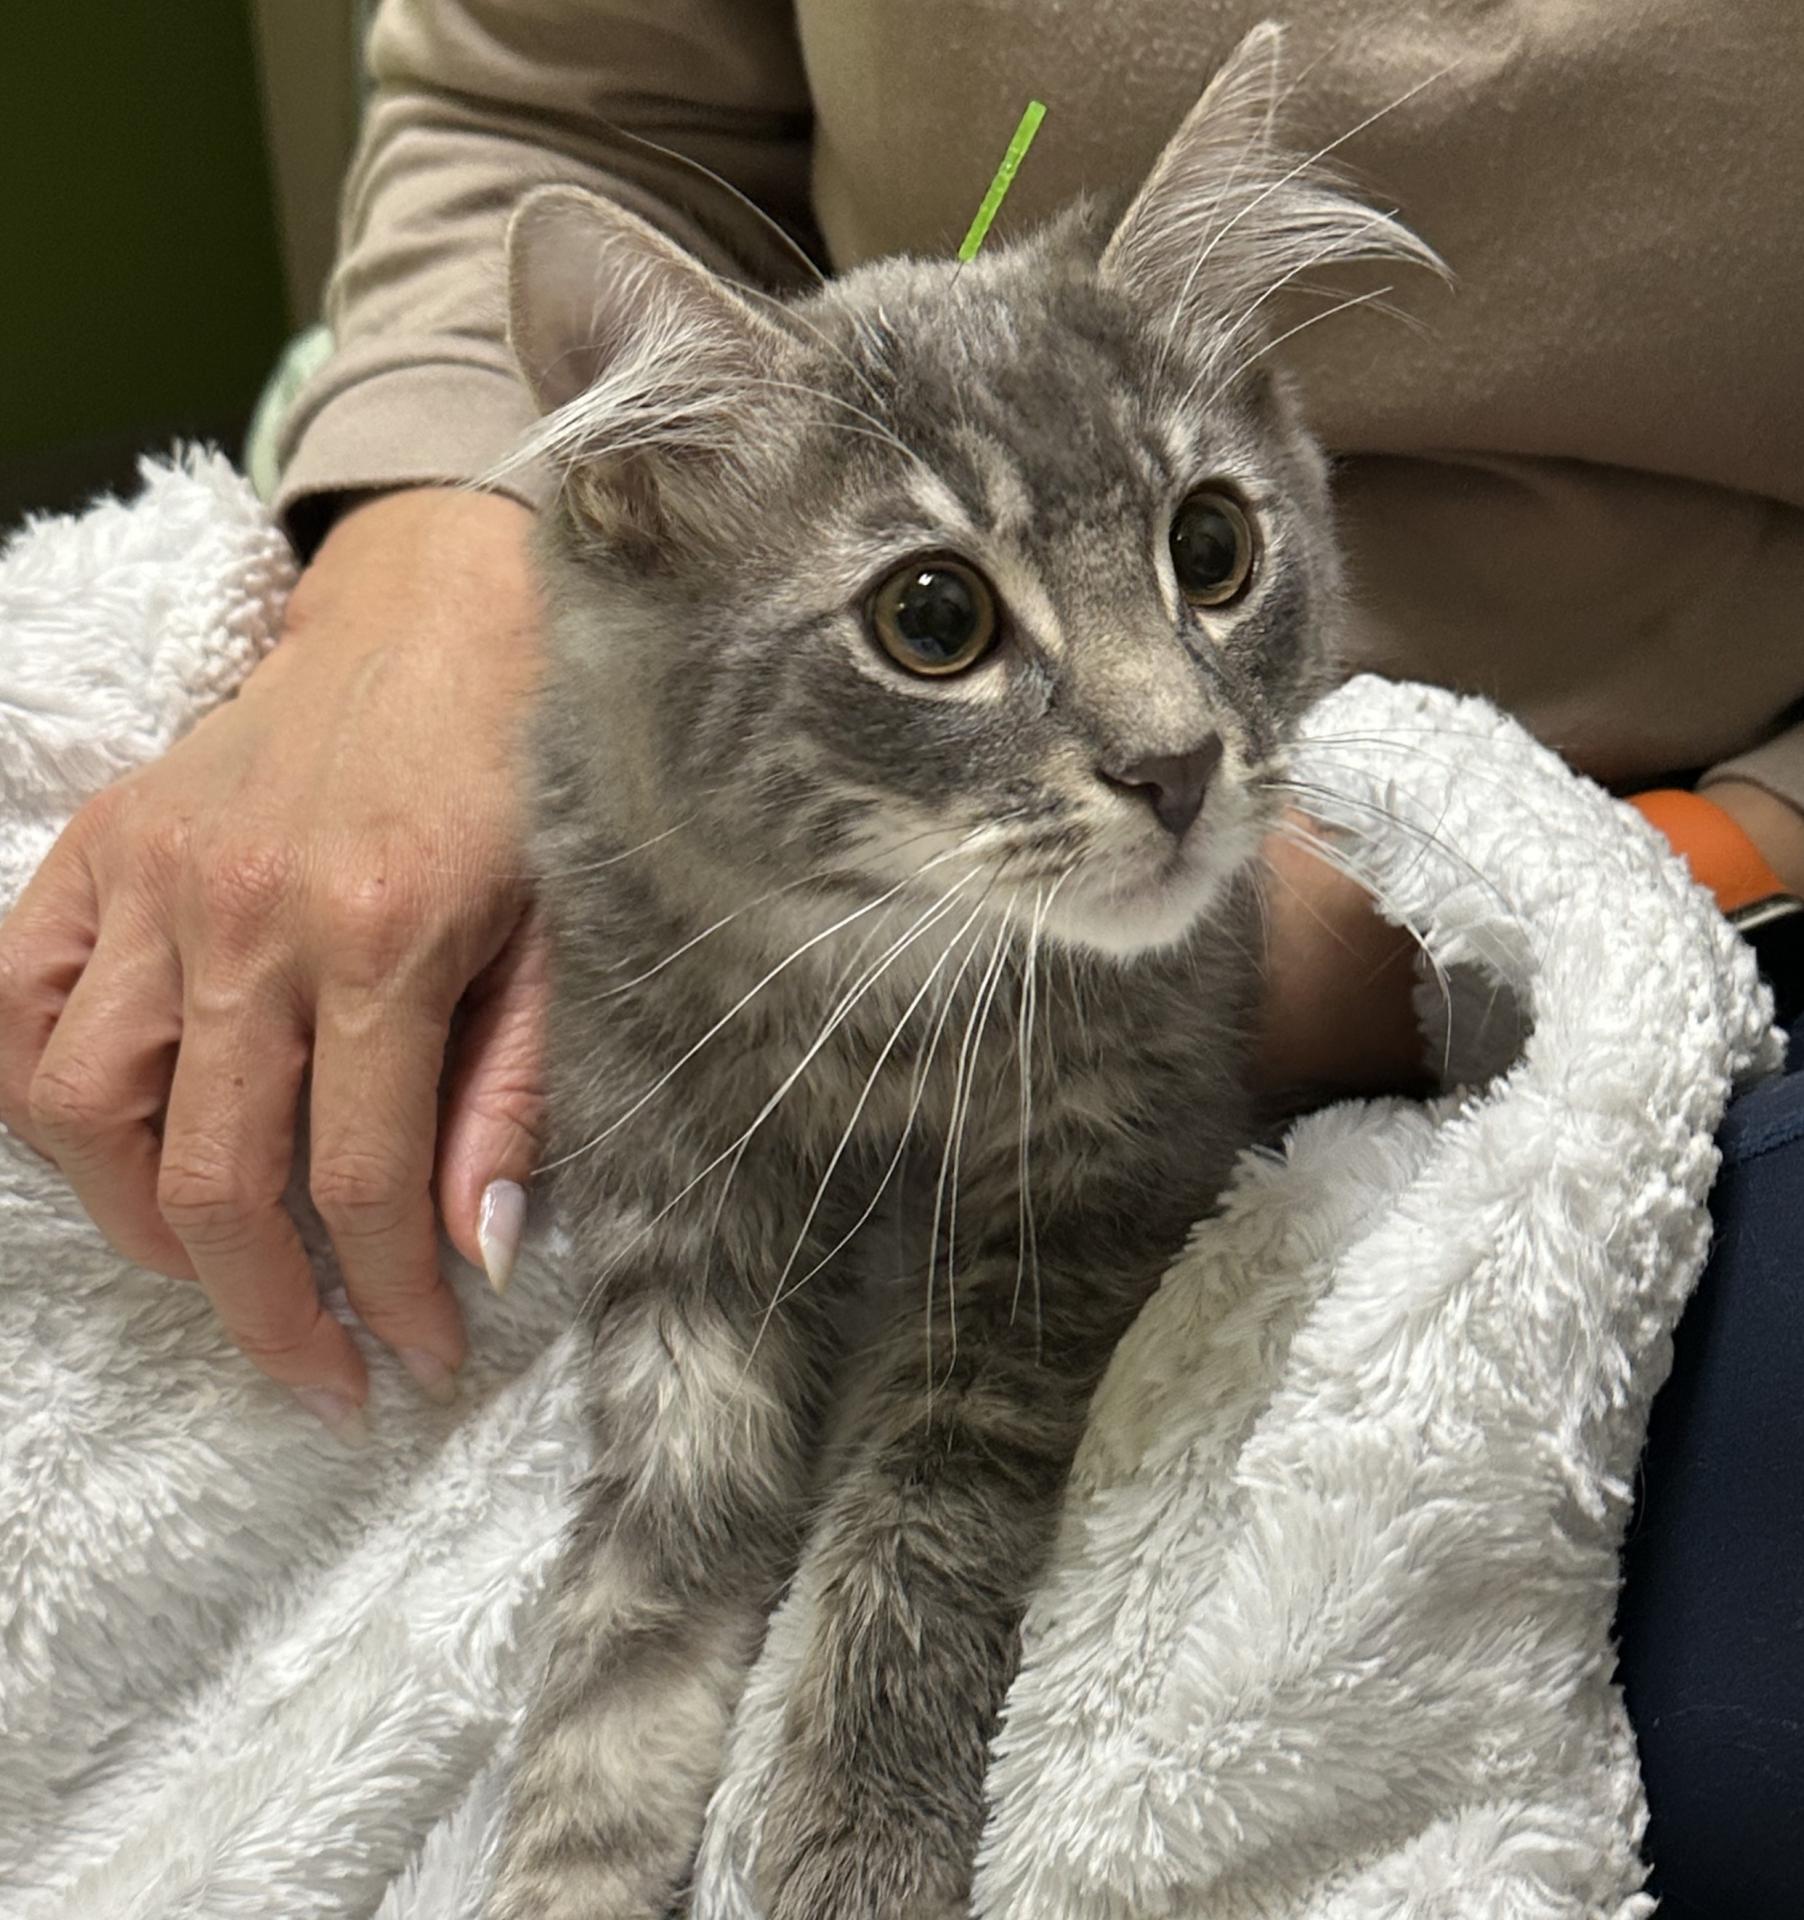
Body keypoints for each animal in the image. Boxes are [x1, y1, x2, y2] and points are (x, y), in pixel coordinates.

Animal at [483, 26, 1435, 1920]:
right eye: (934, 619)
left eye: (1210, 549)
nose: (1175, 765)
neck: (876, 982)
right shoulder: (666, 1199)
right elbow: (632, 1608)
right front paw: (567, 1866)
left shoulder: (1076, 1206)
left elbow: (913, 1530)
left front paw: (849, 1841)